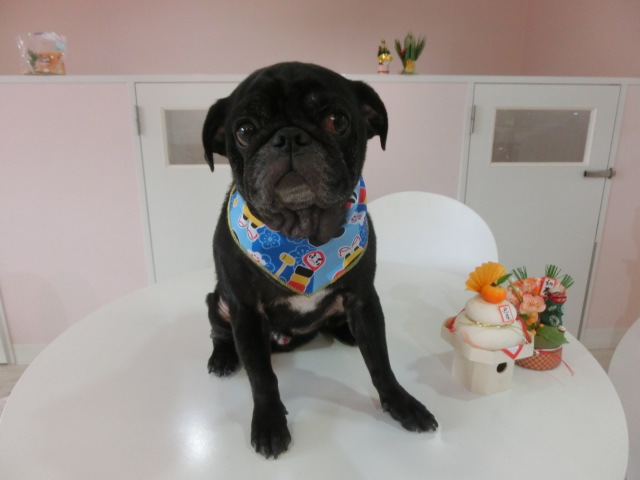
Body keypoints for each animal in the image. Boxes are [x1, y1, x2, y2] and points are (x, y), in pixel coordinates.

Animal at [202, 62, 437, 458]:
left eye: (337, 120)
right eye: (245, 130)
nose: (289, 137)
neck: (301, 233)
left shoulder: (363, 299)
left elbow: (380, 360)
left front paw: (401, 403)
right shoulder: (244, 311)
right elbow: (262, 377)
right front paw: (269, 422)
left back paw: (346, 333)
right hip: (216, 301)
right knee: (220, 332)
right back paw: (223, 358)